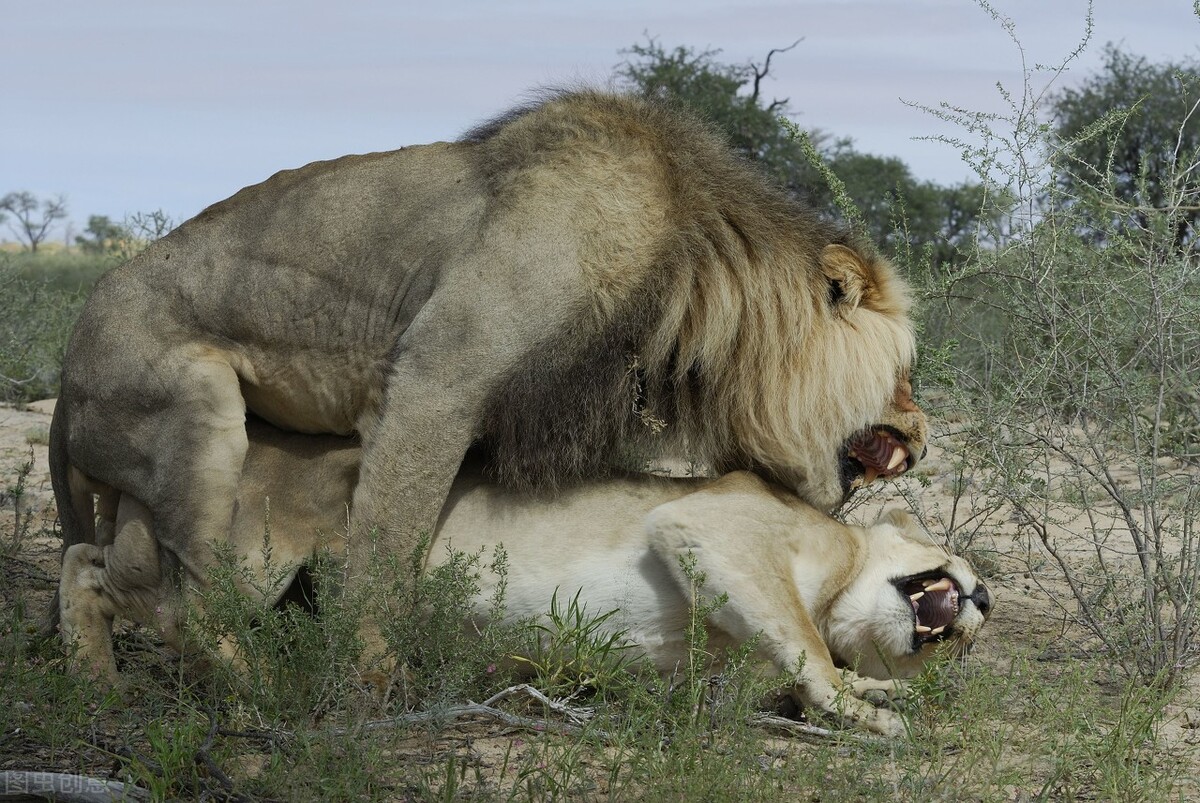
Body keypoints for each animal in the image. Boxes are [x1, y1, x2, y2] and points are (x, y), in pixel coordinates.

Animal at [49, 92, 926, 652]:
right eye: (907, 372)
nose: (920, 440)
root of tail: (62, 380)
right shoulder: (434, 383)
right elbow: (385, 551)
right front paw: (370, 680)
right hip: (195, 410)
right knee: (188, 608)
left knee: (100, 565)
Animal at [60, 420, 988, 734]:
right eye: (968, 573)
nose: (979, 601)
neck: (845, 581)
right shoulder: (711, 528)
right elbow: (811, 656)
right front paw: (876, 710)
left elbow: (795, 668)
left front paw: (878, 693)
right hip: (254, 554)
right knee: (144, 596)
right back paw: (238, 688)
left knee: (91, 567)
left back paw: (99, 682)